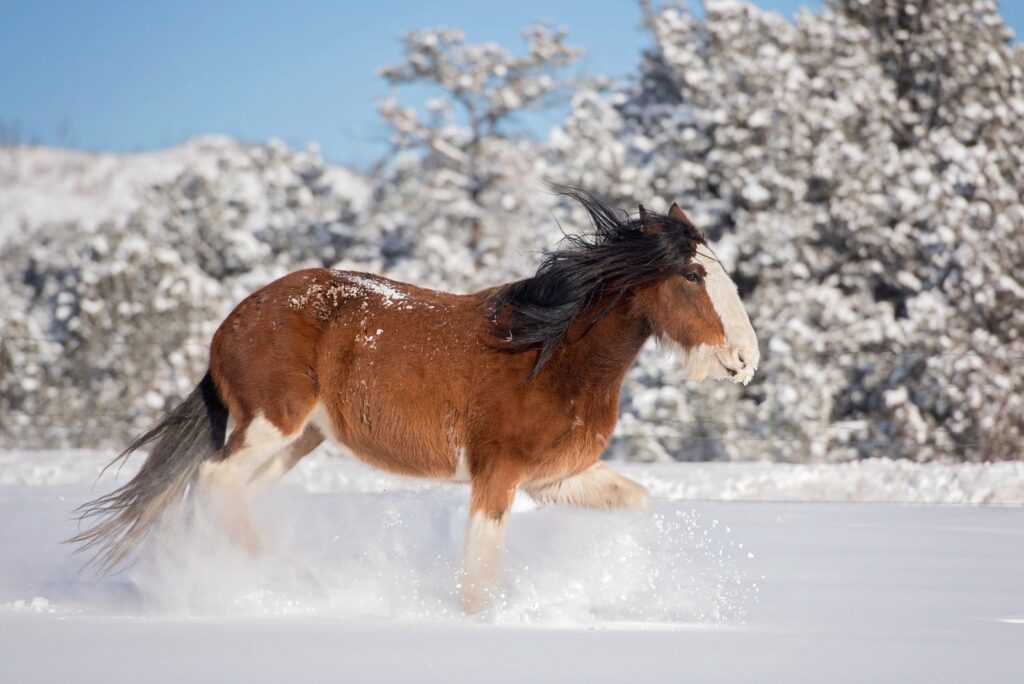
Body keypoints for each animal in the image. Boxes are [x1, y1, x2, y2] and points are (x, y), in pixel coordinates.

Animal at [72, 189, 757, 610]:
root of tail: (232, 322)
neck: (549, 352)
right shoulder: (496, 475)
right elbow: (478, 575)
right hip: (271, 425)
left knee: (226, 494)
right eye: (694, 275)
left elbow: (637, 505)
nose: (747, 359)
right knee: (214, 481)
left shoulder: (555, 479)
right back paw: (287, 583)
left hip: (297, 442)